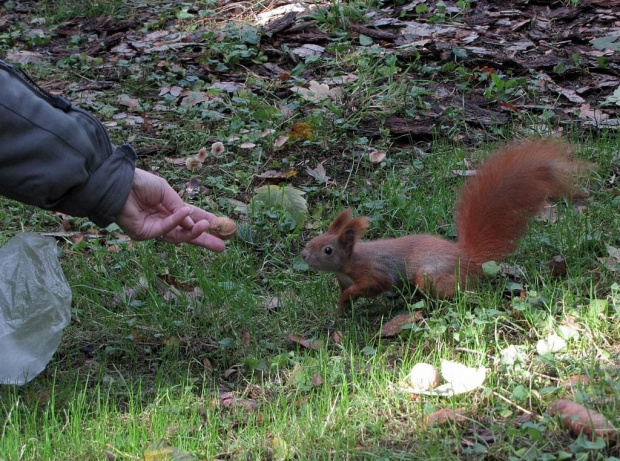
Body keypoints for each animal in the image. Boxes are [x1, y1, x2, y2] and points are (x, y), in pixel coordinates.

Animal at [302, 139, 592, 312]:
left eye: (328, 250)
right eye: (313, 240)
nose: (304, 255)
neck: (349, 263)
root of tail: (468, 260)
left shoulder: (374, 272)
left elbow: (375, 284)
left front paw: (350, 298)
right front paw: (341, 308)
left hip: (430, 275)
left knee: (453, 291)